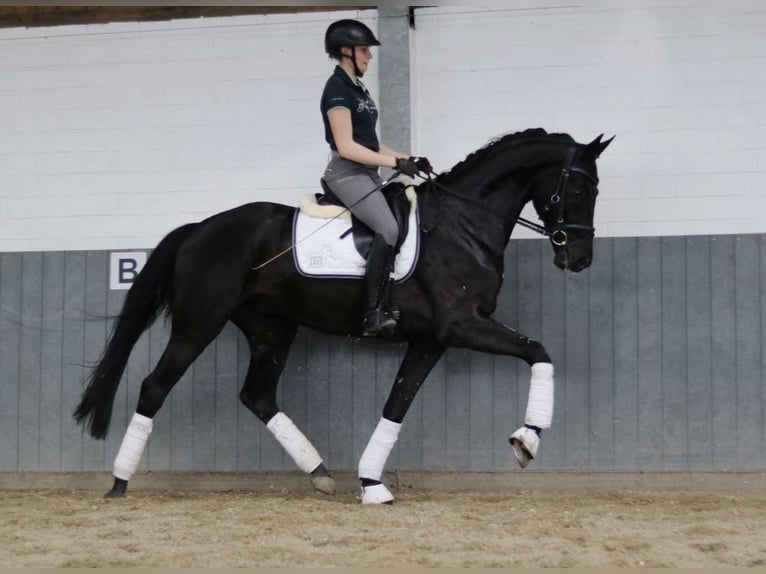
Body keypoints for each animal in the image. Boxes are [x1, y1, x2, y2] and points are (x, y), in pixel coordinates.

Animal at [74, 128, 613, 504]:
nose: (580, 259)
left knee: (257, 395)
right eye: (581, 189)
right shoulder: (462, 325)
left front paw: (372, 482)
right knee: (154, 388)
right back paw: (118, 483)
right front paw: (527, 440)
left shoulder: (431, 339)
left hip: (272, 329)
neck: (464, 225)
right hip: (199, 324)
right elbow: (539, 351)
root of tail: (199, 228)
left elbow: (396, 406)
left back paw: (319, 474)